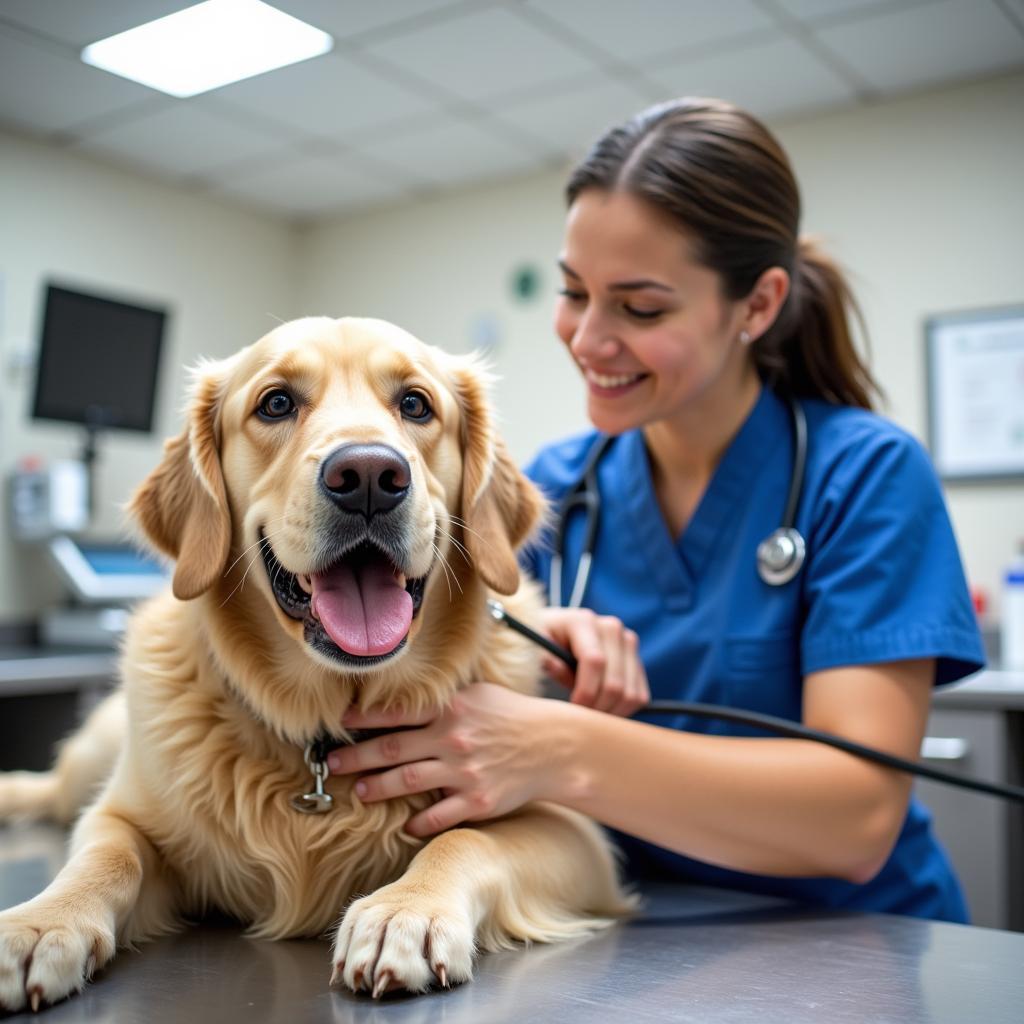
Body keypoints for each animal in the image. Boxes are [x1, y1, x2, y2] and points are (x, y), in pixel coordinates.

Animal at [0, 315, 626, 1011]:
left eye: (415, 404)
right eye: (276, 403)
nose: (370, 475)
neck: (326, 726)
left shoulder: (577, 835)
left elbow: (466, 837)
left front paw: (406, 911)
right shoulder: (120, 813)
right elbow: (105, 856)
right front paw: (41, 922)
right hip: (96, 754)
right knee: (51, 786)